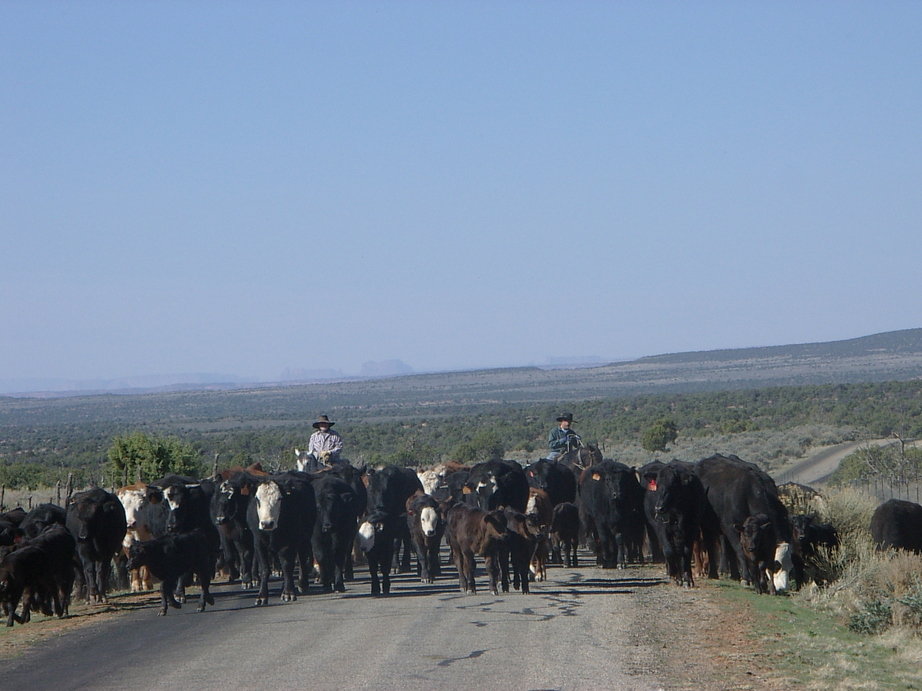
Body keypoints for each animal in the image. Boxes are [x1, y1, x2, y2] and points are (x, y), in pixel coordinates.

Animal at [248, 470, 316, 604]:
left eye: (279, 498)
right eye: (257, 499)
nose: (267, 523)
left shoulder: (288, 543)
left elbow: (287, 566)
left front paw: (288, 593)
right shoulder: (258, 543)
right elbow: (265, 569)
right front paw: (262, 596)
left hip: (303, 539)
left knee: (301, 559)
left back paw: (302, 584)